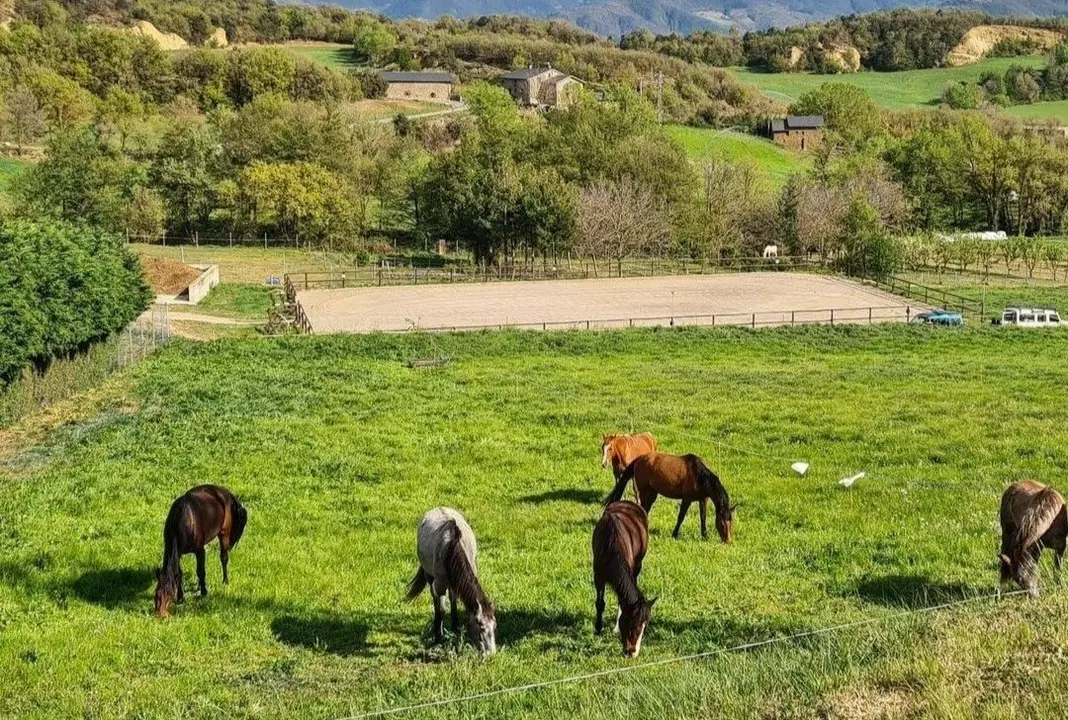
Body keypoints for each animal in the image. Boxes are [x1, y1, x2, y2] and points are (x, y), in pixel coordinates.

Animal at [153, 482, 246, 615]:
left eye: (170, 595)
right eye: (156, 595)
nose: (160, 615)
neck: (182, 521)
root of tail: (225, 493)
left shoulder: (199, 550)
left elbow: (201, 571)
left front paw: (204, 593)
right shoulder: (179, 553)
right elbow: (179, 574)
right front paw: (181, 597)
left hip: (224, 533)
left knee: (224, 558)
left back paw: (225, 581)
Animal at [589, 499, 653, 658]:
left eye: (645, 627)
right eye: (633, 625)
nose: (632, 652)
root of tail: (630, 502)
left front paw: (615, 627)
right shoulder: (598, 576)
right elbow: (600, 603)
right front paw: (598, 629)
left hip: (638, 565)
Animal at [606, 448, 739, 538]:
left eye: (731, 522)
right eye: (722, 523)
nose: (727, 541)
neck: (699, 476)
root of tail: (639, 459)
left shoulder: (703, 500)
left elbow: (703, 517)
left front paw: (704, 535)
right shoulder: (686, 499)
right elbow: (681, 517)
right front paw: (674, 534)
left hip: (652, 493)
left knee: (645, 509)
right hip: (643, 491)